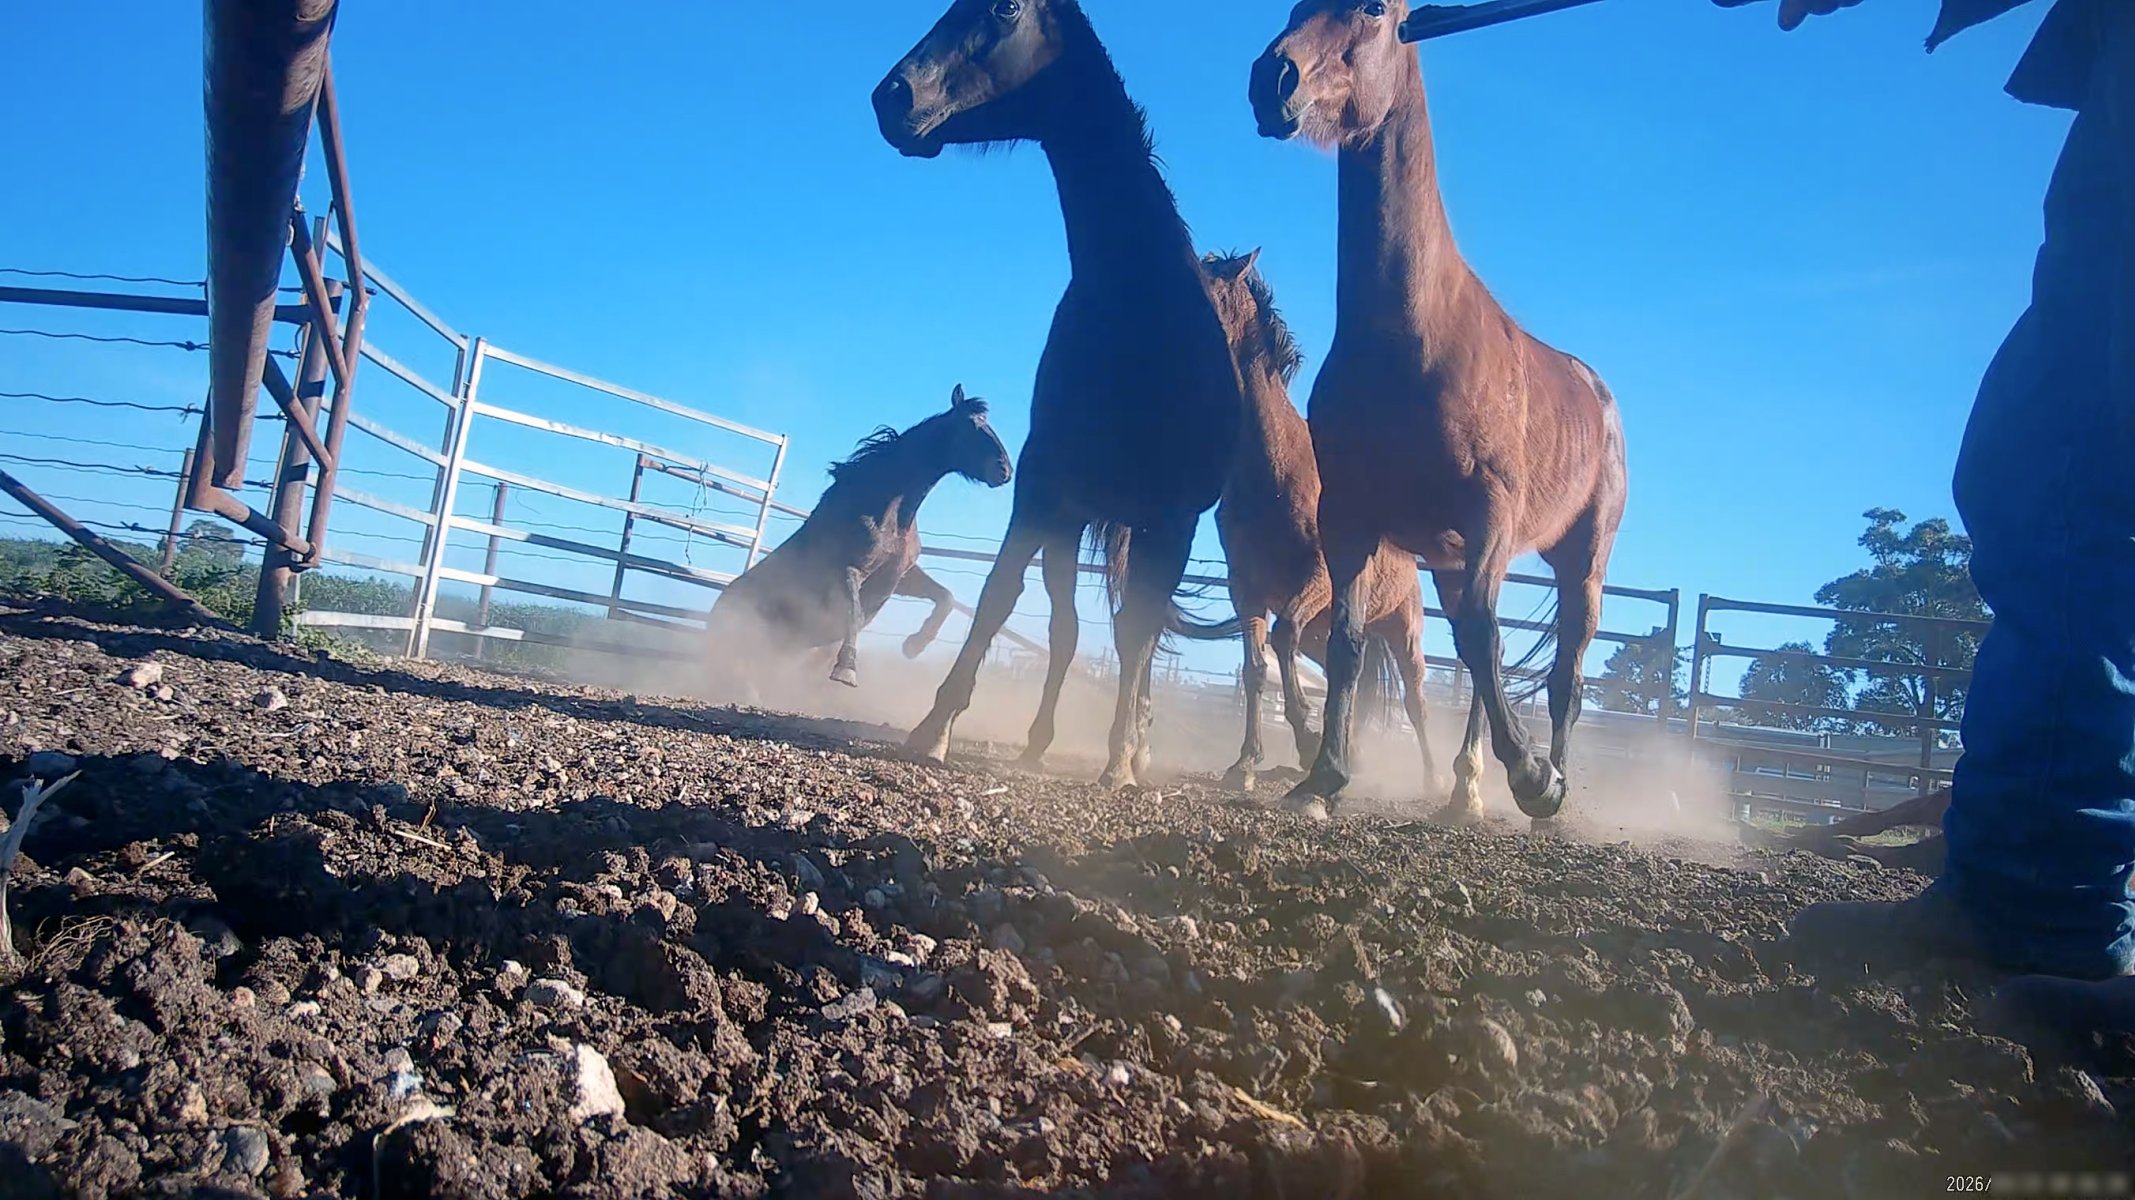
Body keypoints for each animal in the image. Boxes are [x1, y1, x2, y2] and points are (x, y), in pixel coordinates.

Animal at [702, 385, 1011, 694]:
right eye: (972, 426)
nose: (1005, 470)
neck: (890, 513)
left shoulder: (899, 574)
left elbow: (944, 597)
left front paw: (914, 646)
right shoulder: (848, 571)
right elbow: (854, 612)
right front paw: (846, 670)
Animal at [873, 0, 1245, 788]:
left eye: (1005, 9)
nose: (892, 97)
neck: (1136, 315)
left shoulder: (1171, 520)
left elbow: (1133, 636)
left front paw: (1120, 764)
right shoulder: (1042, 490)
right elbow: (999, 600)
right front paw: (934, 726)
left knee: (1136, 637)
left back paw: (1129, 745)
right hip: (1076, 524)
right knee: (1070, 628)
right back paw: (1041, 740)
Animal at [1200, 249, 1440, 795]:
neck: (1271, 468)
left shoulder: (1319, 577)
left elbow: (1281, 638)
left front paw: (1307, 739)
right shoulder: (1244, 587)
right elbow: (1255, 668)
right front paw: (1246, 763)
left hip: (1403, 632)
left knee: (1416, 701)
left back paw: (1435, 780)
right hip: (1326, 630)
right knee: (1343, 673)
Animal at [1249, 0, 1628, 824]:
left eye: (1374, 11)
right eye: (1294, 9)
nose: (1273, 79)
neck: (1410, 333)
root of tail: (1600, 397)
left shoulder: (1487, 514)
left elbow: (1485, 643)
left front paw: (1534, 779)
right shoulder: (1350, 519)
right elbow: (1349, 644)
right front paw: (1323, 777)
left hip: (1581, 561)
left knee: (1563, 673)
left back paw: (1545, 781)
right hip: (1455, 563)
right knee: (1480, 660)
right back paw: (1463, 788)